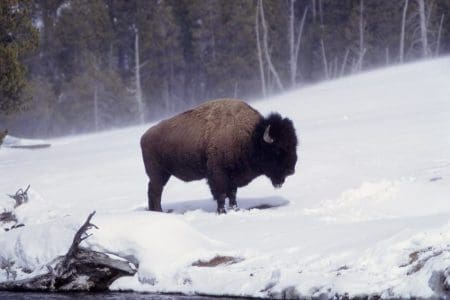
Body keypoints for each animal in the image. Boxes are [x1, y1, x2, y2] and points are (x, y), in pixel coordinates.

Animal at [139, 99, 298, 214]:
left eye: (294, 145)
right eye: (278, 150)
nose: (291, 170)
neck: (250, 137)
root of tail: (144, 136)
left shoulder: (233, 177)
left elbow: (232, 195)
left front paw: (235, 209)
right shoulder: (218, 175)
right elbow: (221, 195)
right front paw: (222, 212)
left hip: (164, 174)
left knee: (153, 191)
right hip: (158, 173)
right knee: (155, 191)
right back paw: (159, 211)